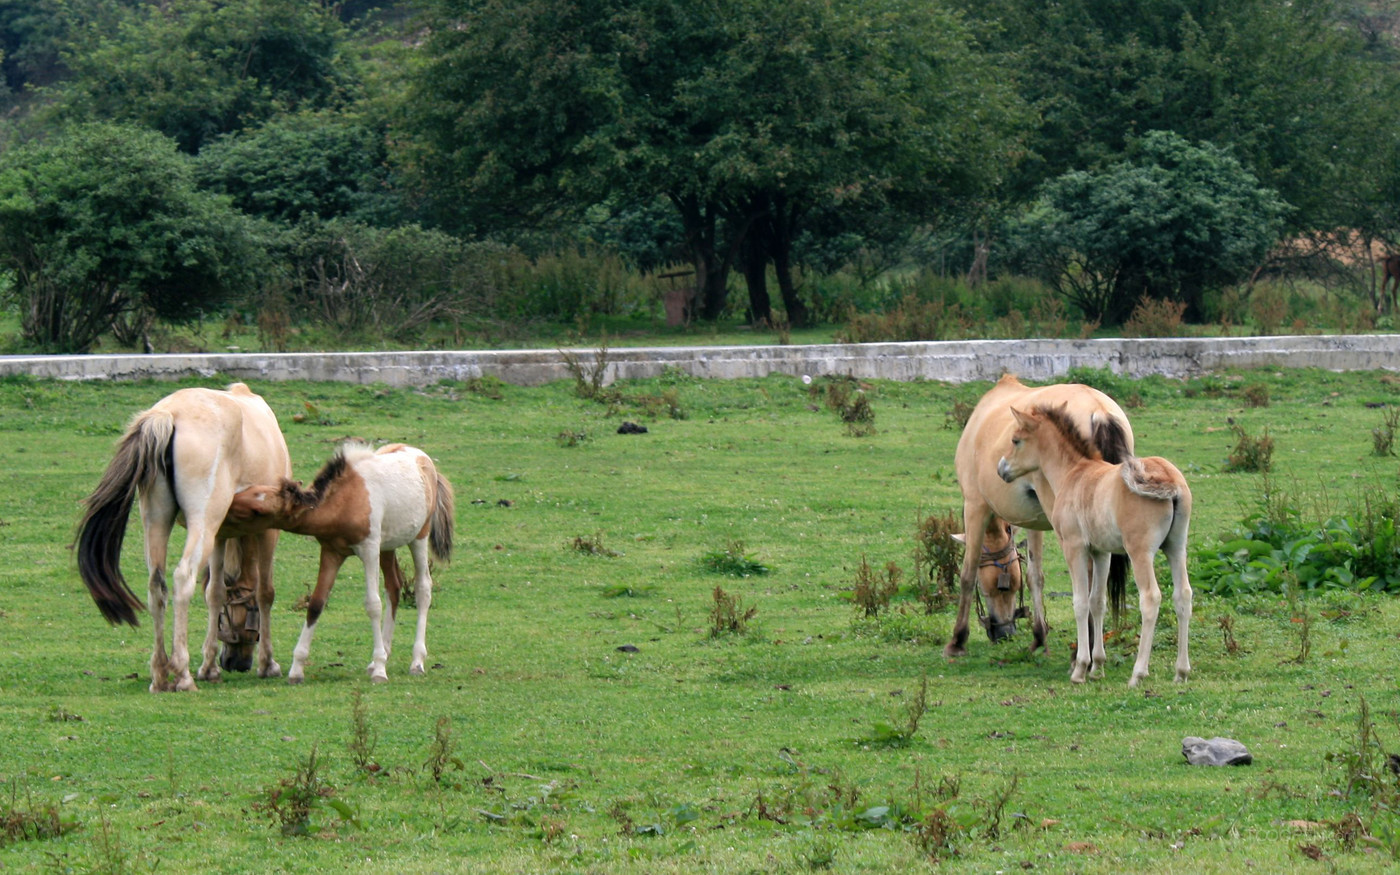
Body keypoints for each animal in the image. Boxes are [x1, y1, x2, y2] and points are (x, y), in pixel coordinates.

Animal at [75, 380, 289, 688]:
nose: (236, 663)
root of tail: (169, 415)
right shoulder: (268, 531)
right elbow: (265, 592)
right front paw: (267, 664)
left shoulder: (220, 534)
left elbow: (214, 592)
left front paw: (210, 667)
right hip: (201, 525)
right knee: (183, 578)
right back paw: (182, 673)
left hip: (158, 522)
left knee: (156, 586)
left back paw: (160, 673)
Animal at [221, 442, 453, 683]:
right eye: (249, 490)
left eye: (255, 510)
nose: (224, 507)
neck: (346, 500)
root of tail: (423, 458)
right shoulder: (331, 552)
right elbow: (316, 603)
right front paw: (297, 669)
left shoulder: (369, 548)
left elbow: (373, 605)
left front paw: (380, 670)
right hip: (388, 546)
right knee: (394, 587)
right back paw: (383, 656)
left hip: (419, 537)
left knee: (423, 589)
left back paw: (416, 662)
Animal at [946, 372, 1131, 655]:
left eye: (1002, 587)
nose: (1005, 632)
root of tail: (1098, 410)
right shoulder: (1033, 521)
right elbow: (1035, 576)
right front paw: (1039, 635)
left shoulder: (975, 506)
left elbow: (967, 574)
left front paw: (958, 639)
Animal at [996, 400, 1192, 683]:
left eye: (1016, 440)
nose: (1002, 469)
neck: (1073, 473)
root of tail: (1168, 479)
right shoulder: (1102, 553)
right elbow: (1097, 602)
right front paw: (1098, 665)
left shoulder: (1074, 547)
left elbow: (1080, 602)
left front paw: (1080, 668)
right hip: (1176, 548)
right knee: (1183, 596)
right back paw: (1181, 672)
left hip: (1140, 553)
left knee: (1151, 598)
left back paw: (1138, 673)